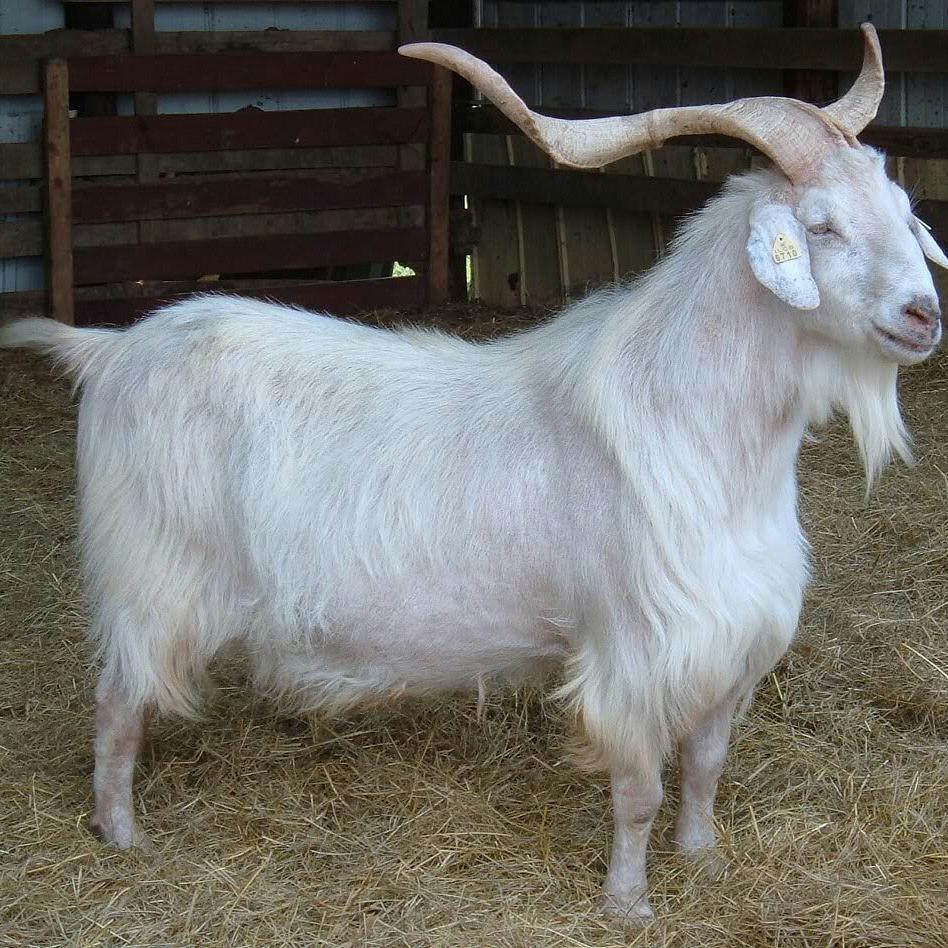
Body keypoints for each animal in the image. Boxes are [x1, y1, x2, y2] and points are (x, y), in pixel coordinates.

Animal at [2, 24, 944, 924]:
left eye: (901, 210)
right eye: (819, 226)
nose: (923, 315)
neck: (694, 426)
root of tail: (113, 350)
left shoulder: (735, 639)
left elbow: (707, 764)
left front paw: (704, 860)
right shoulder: (635, 651)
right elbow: (639, 790)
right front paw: (628, 903)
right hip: (150, 582)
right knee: (116, 706)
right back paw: (121, 835)